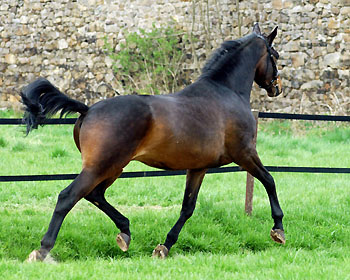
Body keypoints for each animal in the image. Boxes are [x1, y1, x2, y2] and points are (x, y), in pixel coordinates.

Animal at [21, 23, 284, 262]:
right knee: (68, 197)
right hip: (101, 166)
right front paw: (278, 230)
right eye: (276, 55)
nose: (277, 88)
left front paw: (164, 247)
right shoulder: (245, 153)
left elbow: (187, 207)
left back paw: (125, 232)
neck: (226, 92)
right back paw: (42, 250)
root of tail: (88, 109)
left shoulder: (198, 167)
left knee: (95, 194)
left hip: (114, 167)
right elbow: (269, 180)